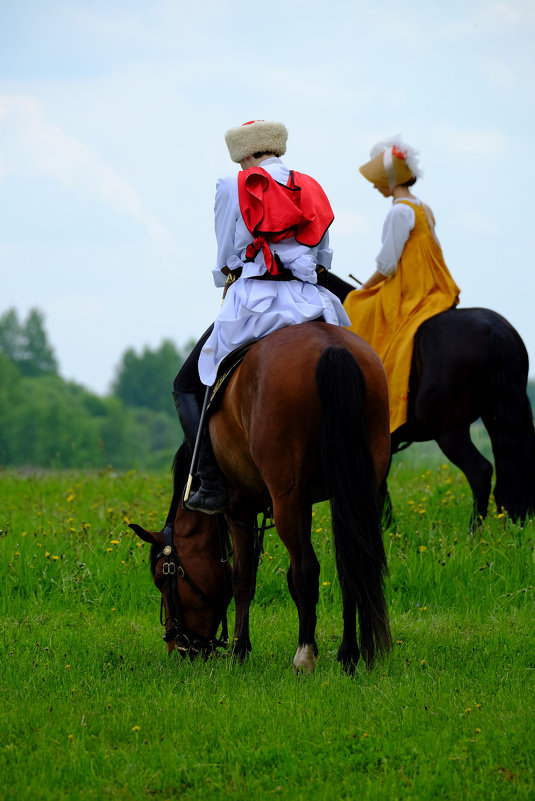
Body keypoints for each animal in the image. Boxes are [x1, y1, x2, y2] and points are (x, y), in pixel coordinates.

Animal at [131, 322, 390, 672]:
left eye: (162, 579)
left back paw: (303, 657)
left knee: (308, 569)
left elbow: (243, 577)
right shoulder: (300, 503)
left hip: (286, 499)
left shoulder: (238, 509)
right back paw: (349, 655)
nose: (180, 647)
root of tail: (330, 346)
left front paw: (240, 649)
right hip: (355, 490)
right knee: (351, 564)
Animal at [326, 272, 535, 528]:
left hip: (448, 429)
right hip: (497, 417)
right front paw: (390, 529)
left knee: (480, 472)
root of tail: (495, 332)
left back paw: (473, 532)